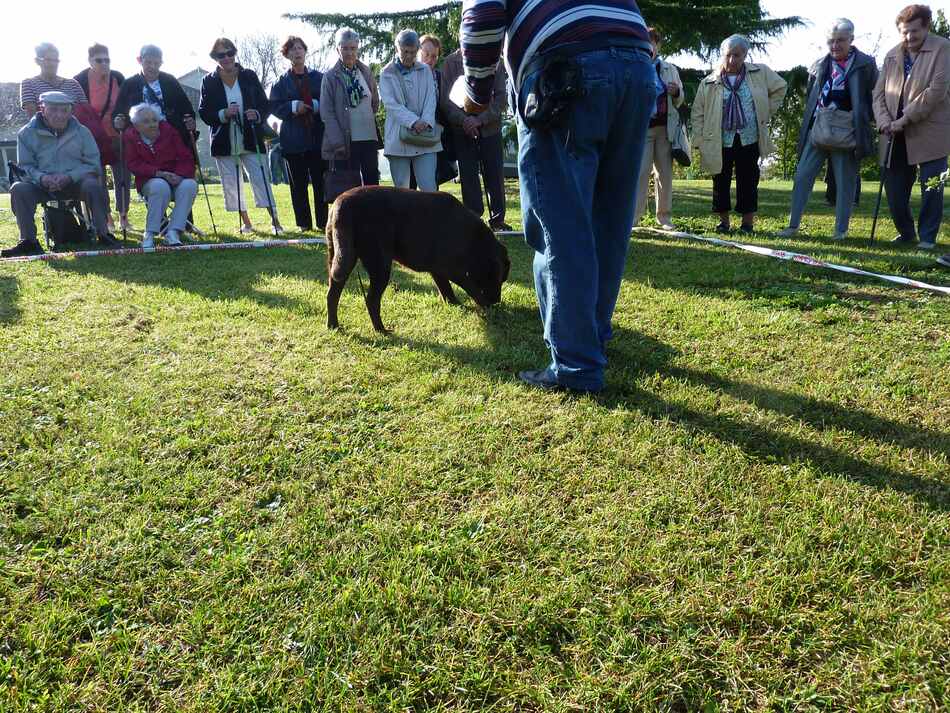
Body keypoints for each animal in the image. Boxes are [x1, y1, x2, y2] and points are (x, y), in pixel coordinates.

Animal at [324, 185, 510, 332]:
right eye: (498, 279)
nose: (497, 301)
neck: (473, 239)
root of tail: (342, 204)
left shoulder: (437, 269)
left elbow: (446, 290)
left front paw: (456, 305)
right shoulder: (453, 270)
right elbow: (472, 289)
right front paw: (488, 307)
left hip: (341, 259)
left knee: (332, 294)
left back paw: (333, 326)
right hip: (380, 265)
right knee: (371, 300)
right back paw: (381, 329)